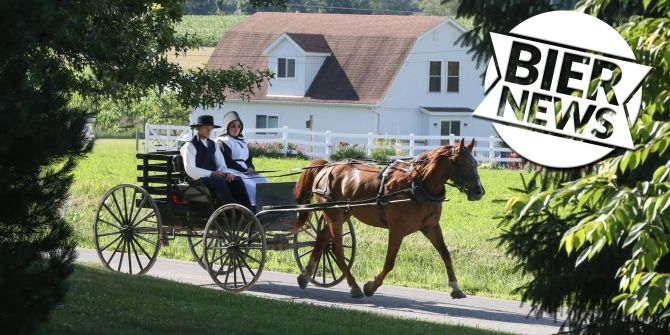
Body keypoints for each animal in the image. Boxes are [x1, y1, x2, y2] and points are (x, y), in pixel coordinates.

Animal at [292, 138, 486, 300]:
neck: (417, 184)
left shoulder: (431, 227)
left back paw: (305, 276)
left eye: (475, 163)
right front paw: (371, 286)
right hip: (334, 214)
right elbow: (390, 262)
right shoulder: (397, 229)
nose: (479, 192)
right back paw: (354, 286)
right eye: (463, 163)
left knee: (322, 238)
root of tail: (327, 167)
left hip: (343, 213)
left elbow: (445, 254)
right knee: (337, 248)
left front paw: (455, 287)